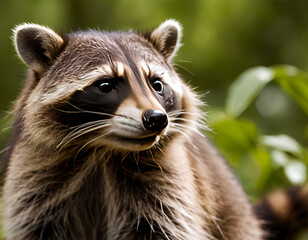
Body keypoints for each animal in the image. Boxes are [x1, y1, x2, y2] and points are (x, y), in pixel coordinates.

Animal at [2, 20, 308, 240]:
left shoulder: (168, 186)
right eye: (105, 85)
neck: (104, 151)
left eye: (156, 84)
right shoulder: (35, 182)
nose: (157, 119)